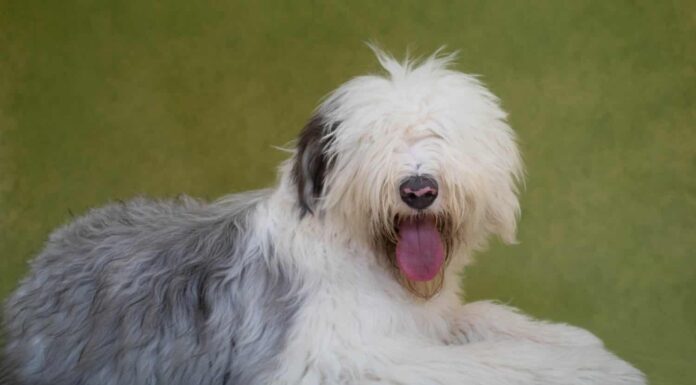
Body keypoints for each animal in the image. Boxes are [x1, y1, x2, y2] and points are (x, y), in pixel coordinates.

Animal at [1, 48, 648, 384]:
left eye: (439, 133)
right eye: (372, 140)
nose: (418, 189)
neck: (365, 257)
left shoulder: (426, 321)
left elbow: (487, 320)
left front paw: (581, 345)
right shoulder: (338, 355)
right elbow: (488, 363)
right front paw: (595, 370)